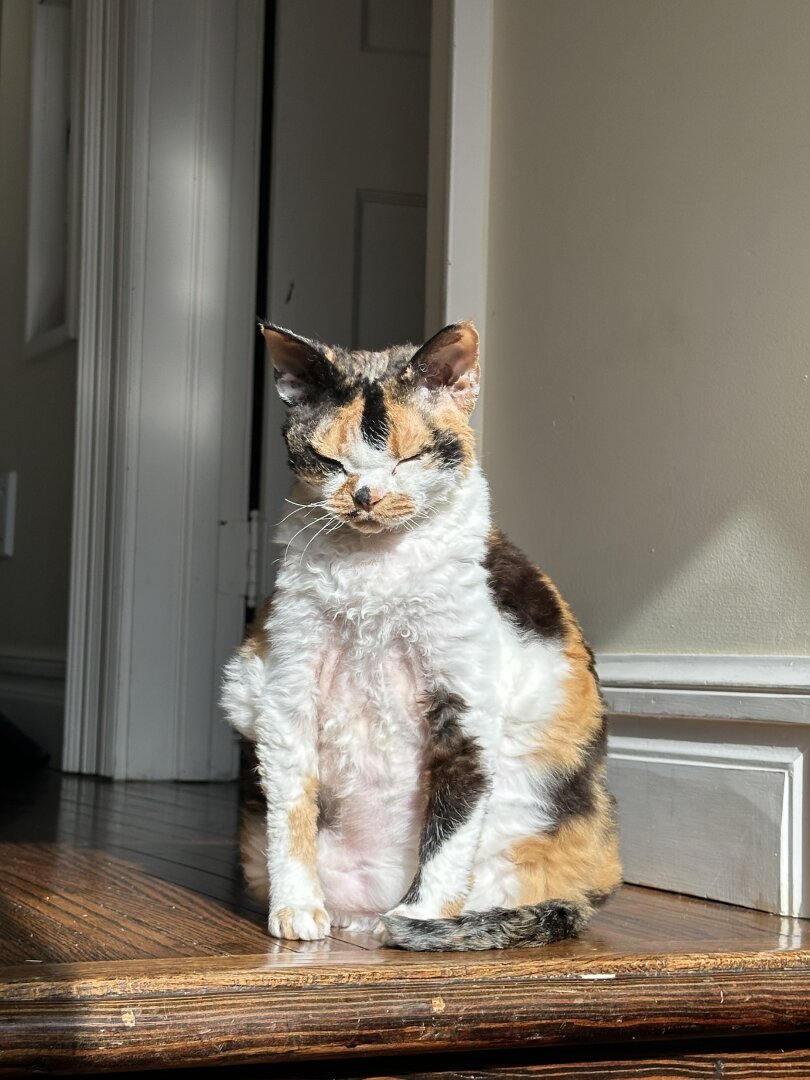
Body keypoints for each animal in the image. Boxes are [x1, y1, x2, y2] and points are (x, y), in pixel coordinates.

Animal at [222, 315, 622, 950]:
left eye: (408, 457)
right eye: (329, 460)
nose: (364, 495)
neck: (373, 576)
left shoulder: (466, 710)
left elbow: (450, 828)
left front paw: (423, 917)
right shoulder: (284, 688)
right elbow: (292, 807)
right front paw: (297, 910)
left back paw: (412, 927)